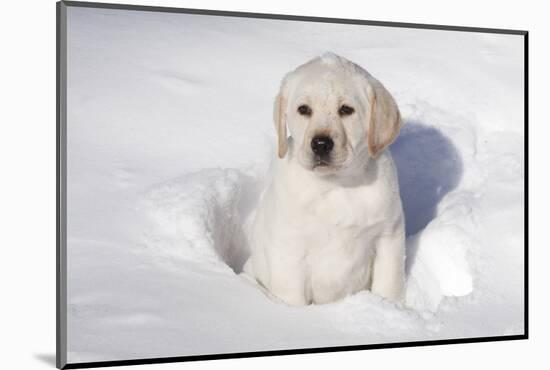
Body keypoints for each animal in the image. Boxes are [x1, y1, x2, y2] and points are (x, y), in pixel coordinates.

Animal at [246, 52, 406, 306]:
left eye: (346, 110)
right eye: (303, 109)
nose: (321, 144)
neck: (336, 184)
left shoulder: (388, 235)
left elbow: (388, 285)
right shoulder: (289, 247)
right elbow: (292, 297)